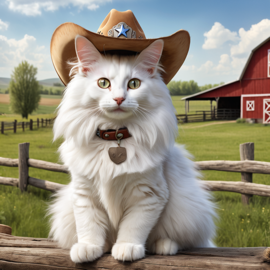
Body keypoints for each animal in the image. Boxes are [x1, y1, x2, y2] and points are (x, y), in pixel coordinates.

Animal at [48, 34, 217, 262]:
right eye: (103, 83)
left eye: (134, 84)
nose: (119, 99)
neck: (115, 137)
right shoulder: (84, 193)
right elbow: (89, 226)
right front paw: (89, 248)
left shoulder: (149, 195)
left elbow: (133, 227)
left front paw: (126, 248)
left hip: (189, 210)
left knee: (183, 241)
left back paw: (163, 246)